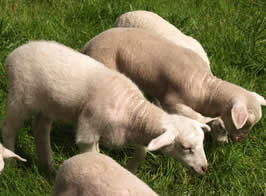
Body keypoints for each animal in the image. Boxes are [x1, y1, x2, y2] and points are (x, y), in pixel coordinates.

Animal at [1, 40, 212, 175]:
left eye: (202, 143)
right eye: (186, 148)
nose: (204, 168)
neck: (131, 111)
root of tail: (13, 55)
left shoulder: (135, 134)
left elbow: (141, 152)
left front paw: (129, 170)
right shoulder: (88, 131)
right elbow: (92, 153)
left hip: (48, 103)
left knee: (40, 128)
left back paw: (49, 166)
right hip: (20, 97)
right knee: (8, 127)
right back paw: (12, 165)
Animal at [81, 27, 266, 143]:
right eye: (247, 123)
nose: (240, 140)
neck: (207, 89)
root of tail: (88, 45)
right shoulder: (173, 100)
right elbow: (191, 114)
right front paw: (205, 122)